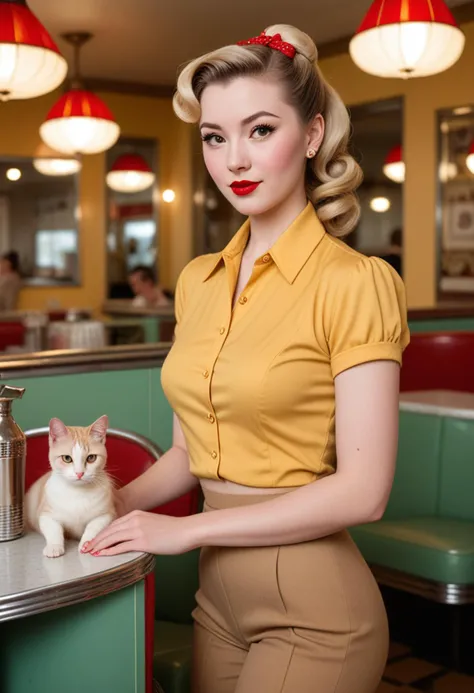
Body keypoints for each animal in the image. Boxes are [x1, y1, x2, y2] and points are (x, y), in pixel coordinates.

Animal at [24, 416, 115, 556]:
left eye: (91, 458)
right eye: (67, 458)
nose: (79, 473)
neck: (77, 492)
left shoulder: (107, 514)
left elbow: (94, 526)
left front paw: (87, 543)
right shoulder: (46, 514)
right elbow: (53, 529)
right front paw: (54, 546)